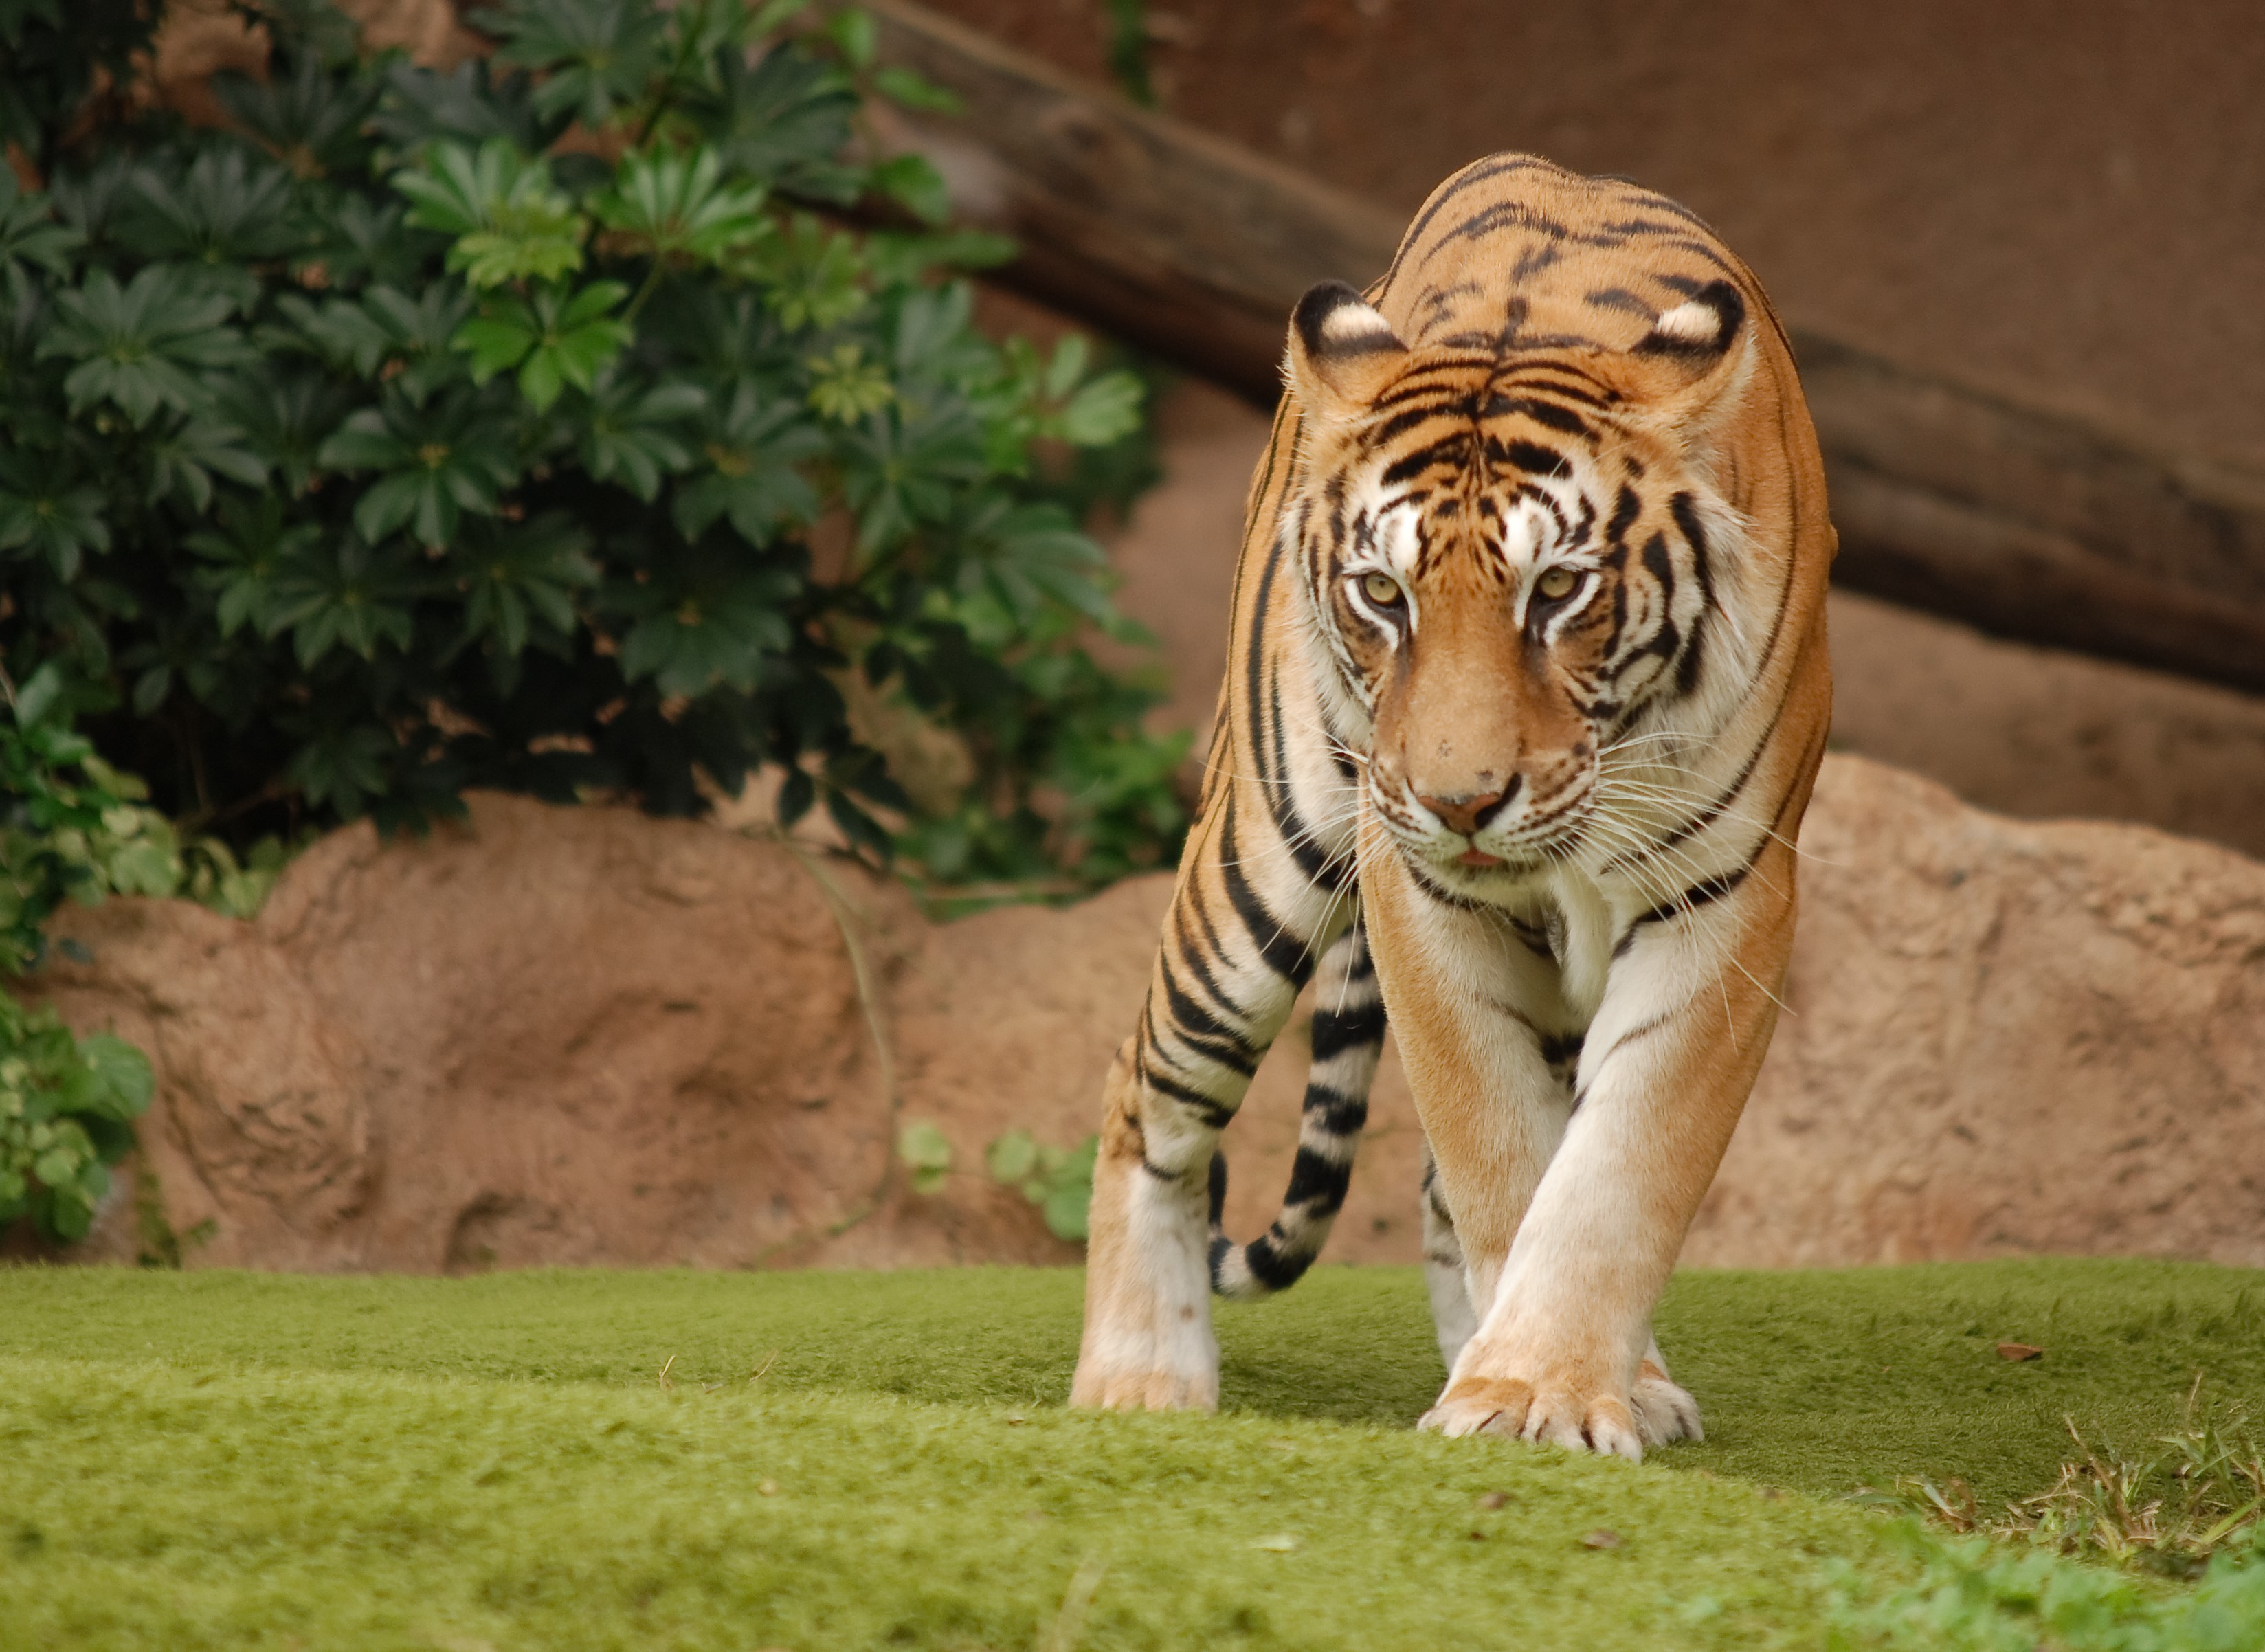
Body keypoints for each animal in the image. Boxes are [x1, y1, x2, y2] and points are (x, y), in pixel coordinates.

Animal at [1068, 152, 1833, 1460]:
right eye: (1383, 593)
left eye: (1558, 589)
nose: (1460, 800)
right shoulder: (1417, 891)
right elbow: (1496, 1148)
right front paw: (1523, 1391)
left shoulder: (1725, 896)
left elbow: (1616, 1169)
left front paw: (1539, 1382)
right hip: (1259, 860)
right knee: (1146, 1086)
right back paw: (1136, 1381)